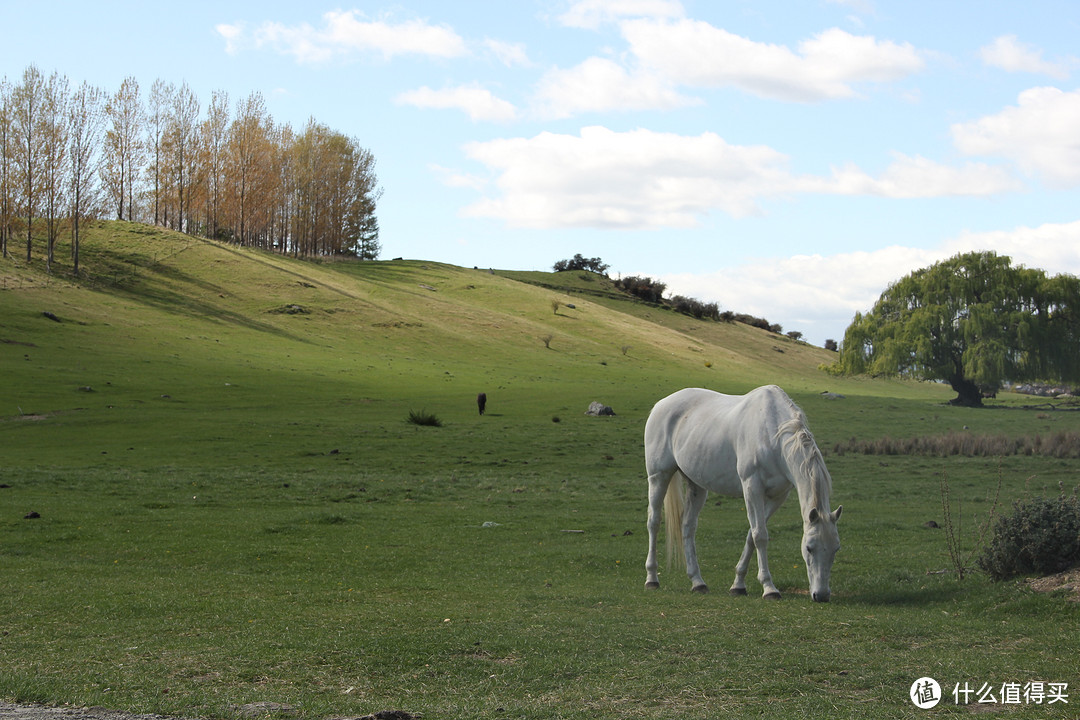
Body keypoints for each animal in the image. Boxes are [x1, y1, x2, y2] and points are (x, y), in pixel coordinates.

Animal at [639, 388, 842, 604]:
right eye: (809, 548)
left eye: (836, 548)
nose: (821, 595)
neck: (772, 435)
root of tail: (661, 404)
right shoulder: (752, 487)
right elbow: (760, 535)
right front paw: (769, 588)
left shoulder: (777, 497)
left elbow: (751, 536)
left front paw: (738, 585)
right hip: (659, 476)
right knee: (654, 522)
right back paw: (652, 579)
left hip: (697, 486)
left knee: (687, 526)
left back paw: (698, 582)